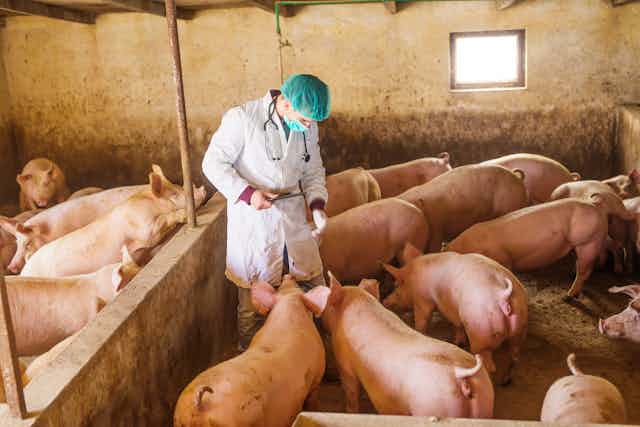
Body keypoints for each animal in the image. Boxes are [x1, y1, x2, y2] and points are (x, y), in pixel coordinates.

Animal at [21, 165, 205, 277]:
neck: (151, 204)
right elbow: (164, 220)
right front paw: (184, 215)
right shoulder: (145, 229)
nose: (203, 190)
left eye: (179, 187)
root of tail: (24, 271)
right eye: (174, 194)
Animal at [174, 275, 325, 427]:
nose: (288, 276)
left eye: (281, 288)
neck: (289, 306)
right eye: (299, 289)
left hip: (178, 417)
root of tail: (201, 404)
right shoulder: (316, 376)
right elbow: (312, 399)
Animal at [301, 273, 494, 417]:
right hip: (486, 401)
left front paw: (349, 412)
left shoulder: (345, 364)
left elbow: (351, 392)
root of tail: (461, 374)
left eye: (327, 305)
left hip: (433, 404)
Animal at [382, 243, 528, 384]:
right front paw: (458, 342)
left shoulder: (423, 300)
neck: (412, 280)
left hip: (482, 332)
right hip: (519, 330)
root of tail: (503, 295)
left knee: (490, 365)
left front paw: (419, 331)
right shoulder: (454, 312)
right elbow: (457, 325)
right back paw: (506, 381)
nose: (384, 301)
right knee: (514, 357)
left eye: (396, 285)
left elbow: (422, 320)